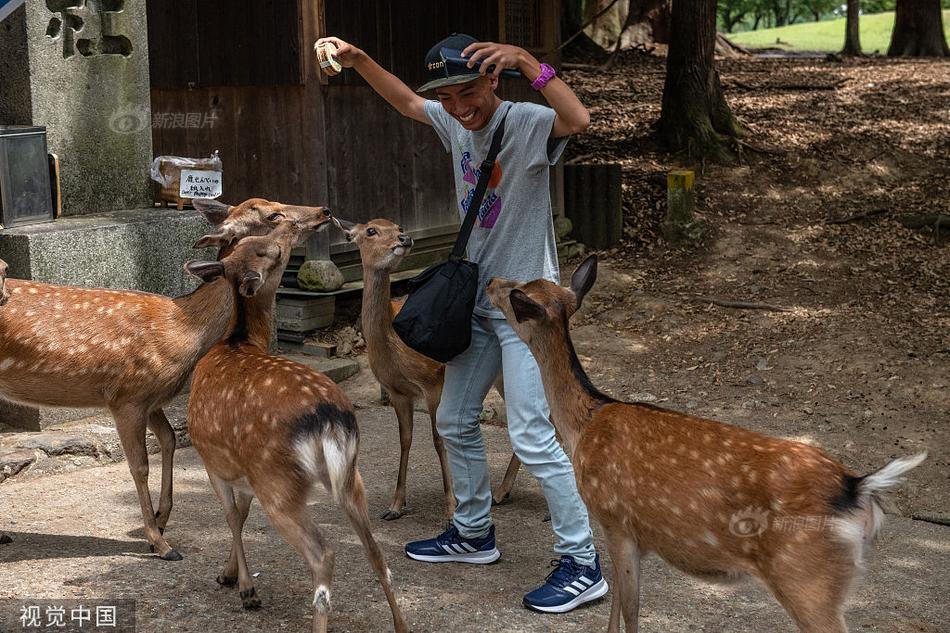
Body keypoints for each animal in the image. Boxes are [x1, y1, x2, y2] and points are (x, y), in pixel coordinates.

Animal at [0, 205, 330, 556]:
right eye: (273, 215)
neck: (185, 329)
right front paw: (160, 542)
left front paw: (161, 519)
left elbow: (169, 439)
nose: (323, 212)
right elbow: (140, 464)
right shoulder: (126, 396)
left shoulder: (153, 398)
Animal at [188, 218, 408, 632]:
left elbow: (232, 516)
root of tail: (329, 421)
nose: (290, 226)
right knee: (378, 555)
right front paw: (228, 575)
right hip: (351, 475)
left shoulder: (213, 462)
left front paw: (245, 589)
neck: (236, 341)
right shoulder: (243, 472)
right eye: (265, 248)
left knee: (323, 554)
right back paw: (402, 625)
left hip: (278, 482)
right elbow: (241, 514)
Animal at [338, 217, 524, 520]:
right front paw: (395, 505)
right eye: (371, 230)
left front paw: (451, 506)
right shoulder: (397, 391)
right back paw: (501, 492)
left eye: (398, 225)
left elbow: (438, 439)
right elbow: (405, 439)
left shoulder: (433, 380)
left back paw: (505, 493)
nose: (405, 238)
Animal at [490, 256, 928, 632]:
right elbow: (619, 605)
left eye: (517, 293)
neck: (586, 422)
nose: (491, 280)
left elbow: (630, 609)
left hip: (807, 578)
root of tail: (858, 487)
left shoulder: (616, 520)